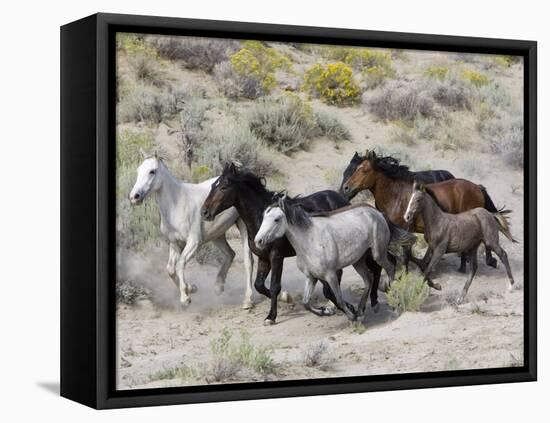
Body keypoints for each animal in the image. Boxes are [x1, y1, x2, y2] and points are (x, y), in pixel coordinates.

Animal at [130, 152, 256, 308]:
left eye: (152, 171)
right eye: (138, 170)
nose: (134, 197)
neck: (177, 204)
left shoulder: (194, 242)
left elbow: (180, 264)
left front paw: (185, 298)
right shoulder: (174, 243)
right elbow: (170, 269)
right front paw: (191, 288)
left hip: (243, 227)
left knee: (248, 261)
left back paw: (247, 300)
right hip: (217, 234)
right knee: (230, 253)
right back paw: (218, 286)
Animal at [254, 199, 414, 322]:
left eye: (276, 219)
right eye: (263, 218)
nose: (258, 241)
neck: (310, 241)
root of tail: (378, 213)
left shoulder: (330, 274)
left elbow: (338, 298)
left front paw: (351, 317)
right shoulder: (311, 277)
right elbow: (306, 303)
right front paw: (325, 311)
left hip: (378, 254)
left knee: (390, 268)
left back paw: (395, 302)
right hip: (359, 260)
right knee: (368, 279)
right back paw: (361, 310)